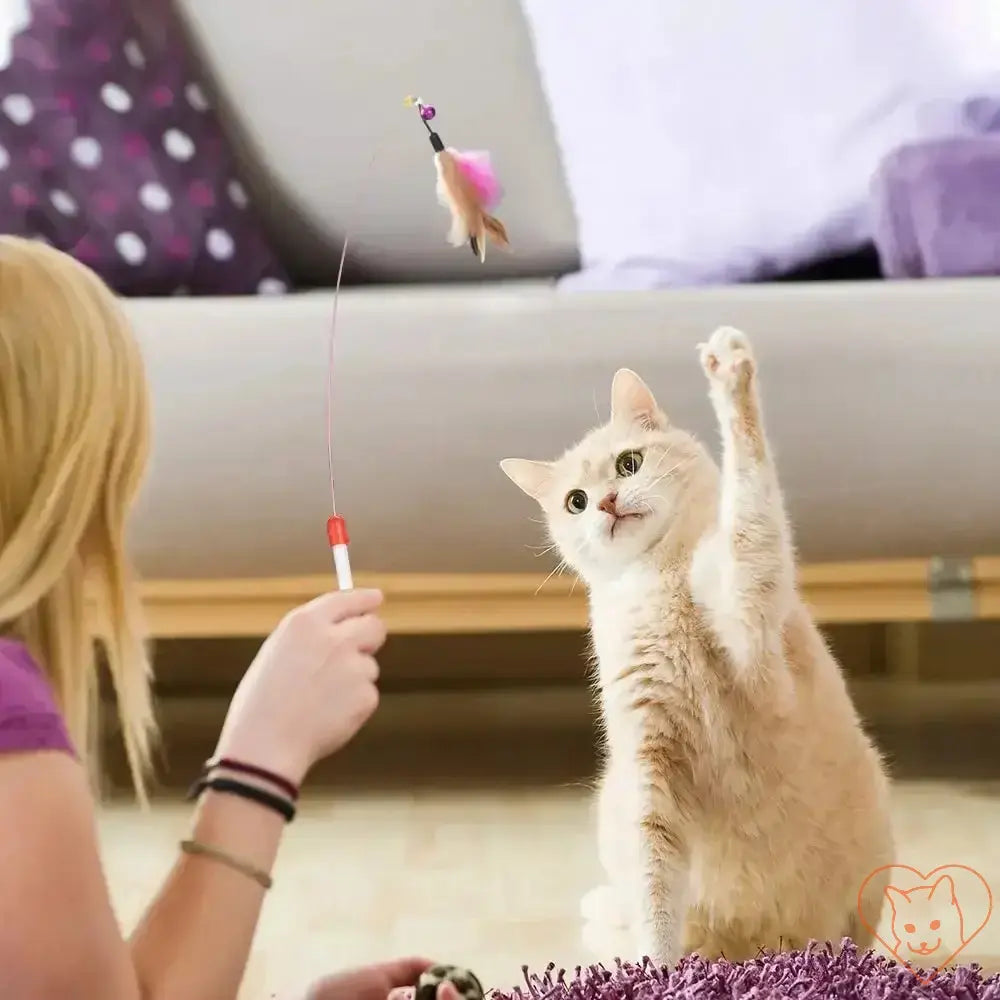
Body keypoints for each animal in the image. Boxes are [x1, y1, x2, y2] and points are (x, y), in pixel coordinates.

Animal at [498, 326, 892, 960]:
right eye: (575, 501)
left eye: (628, 463)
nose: (606, 504)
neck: (658, 579)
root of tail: (753, 948)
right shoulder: (649, 768)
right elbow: (655, 892)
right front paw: (656, 966)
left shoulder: (748, 605)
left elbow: (750, 495)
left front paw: (730, 374)